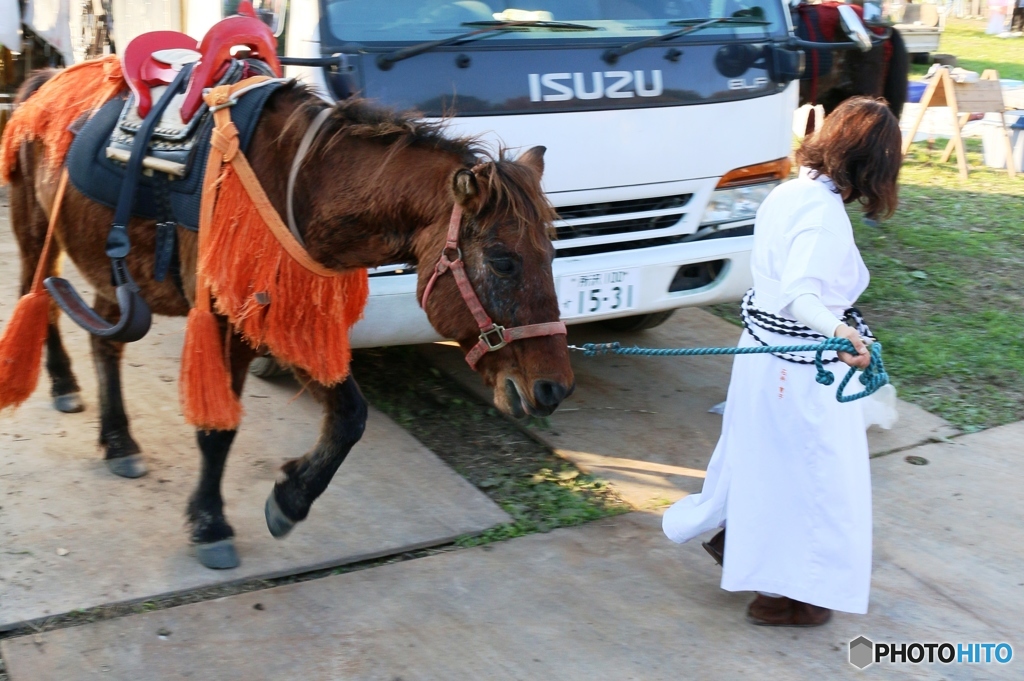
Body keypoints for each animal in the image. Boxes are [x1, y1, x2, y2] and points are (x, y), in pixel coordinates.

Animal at [4, 78, 577, 569]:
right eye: (503, 262)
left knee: (106, 345)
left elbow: (349, 415)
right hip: (36, 229)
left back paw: (119, 440)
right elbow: (220, 431)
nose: (554, 389)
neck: (302, 187)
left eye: (551, 254)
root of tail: (42, 81)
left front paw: (292, 496)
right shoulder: (227, 323)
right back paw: (63, 384)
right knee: (37, 299)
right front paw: (211, 524)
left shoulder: (291, 325)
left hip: (106, 263)